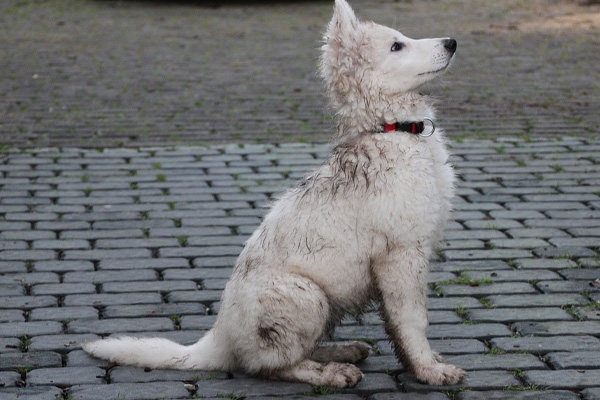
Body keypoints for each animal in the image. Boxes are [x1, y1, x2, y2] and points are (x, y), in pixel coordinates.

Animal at [82, 0, 464, 388]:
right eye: (396, 46)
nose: (452, 42)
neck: (393, 130)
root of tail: (218, 337)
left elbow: (399, 327)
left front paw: (424, 364)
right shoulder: (402, 256)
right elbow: (412, 321)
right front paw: (430, 371)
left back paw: (341, 351)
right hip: (306, 295)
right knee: (270, 365)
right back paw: (331, 372)